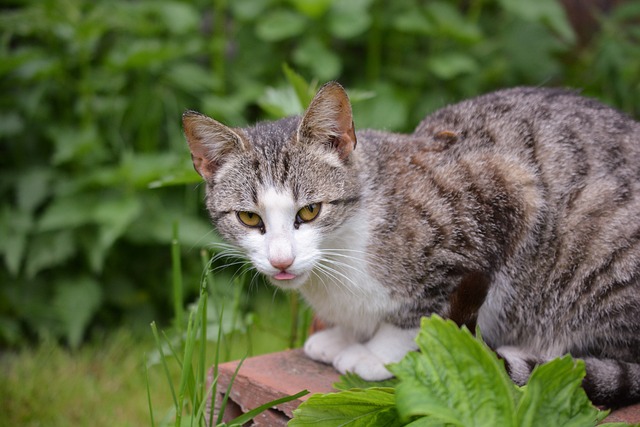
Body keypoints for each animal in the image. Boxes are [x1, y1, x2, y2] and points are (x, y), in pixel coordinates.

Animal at [181, 82, 640, 406]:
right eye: (249, 218)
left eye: (309, 211)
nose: (281, 260)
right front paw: (343, 335)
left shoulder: (508, 192)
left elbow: (424, 309)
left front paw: (376, 351)